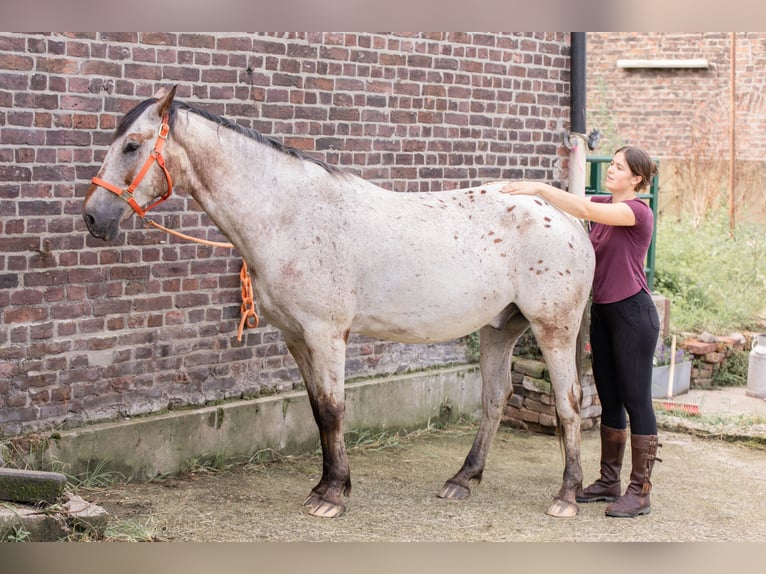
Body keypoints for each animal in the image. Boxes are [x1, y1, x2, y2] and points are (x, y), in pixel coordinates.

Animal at [83, 86, 595, 519]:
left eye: (132, 146)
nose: (93, 217)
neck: (288, 216)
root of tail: (565, 214)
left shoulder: (326, 334)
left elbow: (333, 409)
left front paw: (332, 495)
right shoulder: (296, 338)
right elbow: (316, 410)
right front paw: (323, 485)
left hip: (553, 328)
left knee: (568, 400)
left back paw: (567, 495)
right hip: (500, 327)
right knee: (495, 397)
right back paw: (461, 480)